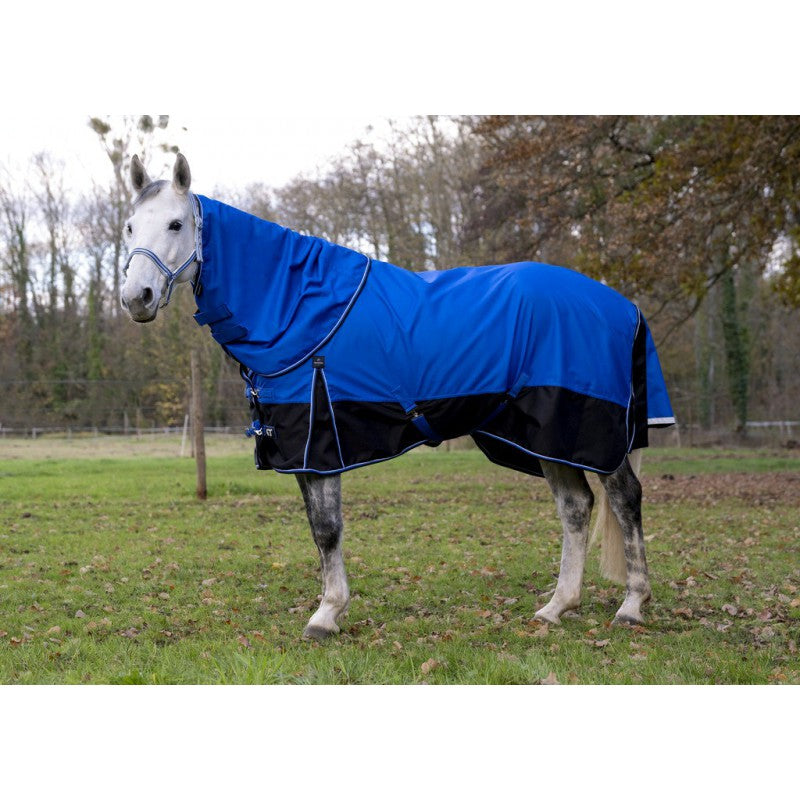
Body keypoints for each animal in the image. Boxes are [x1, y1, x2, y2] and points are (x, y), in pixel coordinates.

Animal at [120, 153, 675, 640]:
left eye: (175, 224)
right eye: (129, 227)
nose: (135, 299)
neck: (297, 308)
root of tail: (622, 305)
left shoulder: (321, 442)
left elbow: (327, 530)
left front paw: (326, 616)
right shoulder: (301, 450)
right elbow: (316, 531)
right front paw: (329, 609)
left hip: (590, 431)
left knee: (624, 500)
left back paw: (631, 606)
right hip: (546, 437)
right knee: (576, 507)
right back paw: (556, 608)